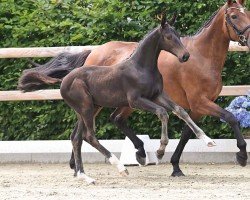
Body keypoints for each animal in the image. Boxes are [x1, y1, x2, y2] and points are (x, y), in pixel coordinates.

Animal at [61, 16, 215, 184]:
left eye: (178, 35)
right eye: (168, 37)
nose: (185, 56)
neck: (141, 68)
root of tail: (64, 82)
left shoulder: (157, 95)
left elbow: (180, 111)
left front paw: (207, 139)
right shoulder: (135, 100)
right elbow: (162, 112)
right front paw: (160, 151)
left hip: (87, 109)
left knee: (77, 138)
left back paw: (84, 176)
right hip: (87, 108)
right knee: (89, 136)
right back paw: (120, 167)